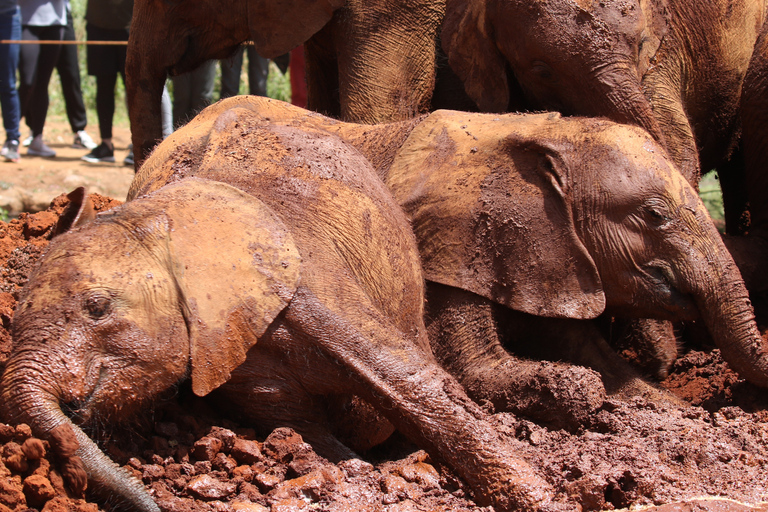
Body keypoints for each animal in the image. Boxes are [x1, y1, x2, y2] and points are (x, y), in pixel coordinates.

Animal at [0, 110, 564, 510]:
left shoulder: (310, 280)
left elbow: (418, 384)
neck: (158, 214)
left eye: (97, 308)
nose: (152, 503)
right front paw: (352, 469)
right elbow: (294, 422)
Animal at [140, 95, 768, 428]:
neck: (544, 133)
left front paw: (667, 406)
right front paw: (573, 391)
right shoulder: (450, 247)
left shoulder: (545, 252)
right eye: (653, 216)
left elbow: (589, 352)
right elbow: (479, 370)